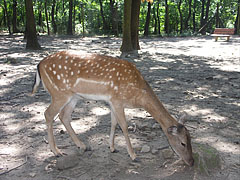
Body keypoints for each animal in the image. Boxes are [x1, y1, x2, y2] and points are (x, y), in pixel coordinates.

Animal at [31, 50, 194, 166]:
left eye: (191, 139)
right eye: (183, 143)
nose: (191, 162)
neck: (137, 94)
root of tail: (39, 65)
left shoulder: (112, 102)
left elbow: (113, 122)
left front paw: (112, 147)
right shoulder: (117, 100)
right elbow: (124, 126)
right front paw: (134, 156)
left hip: (73, 97)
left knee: (63, 116)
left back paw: (82, 146)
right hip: (59, 93)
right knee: (48, 114)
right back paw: (57, 151)